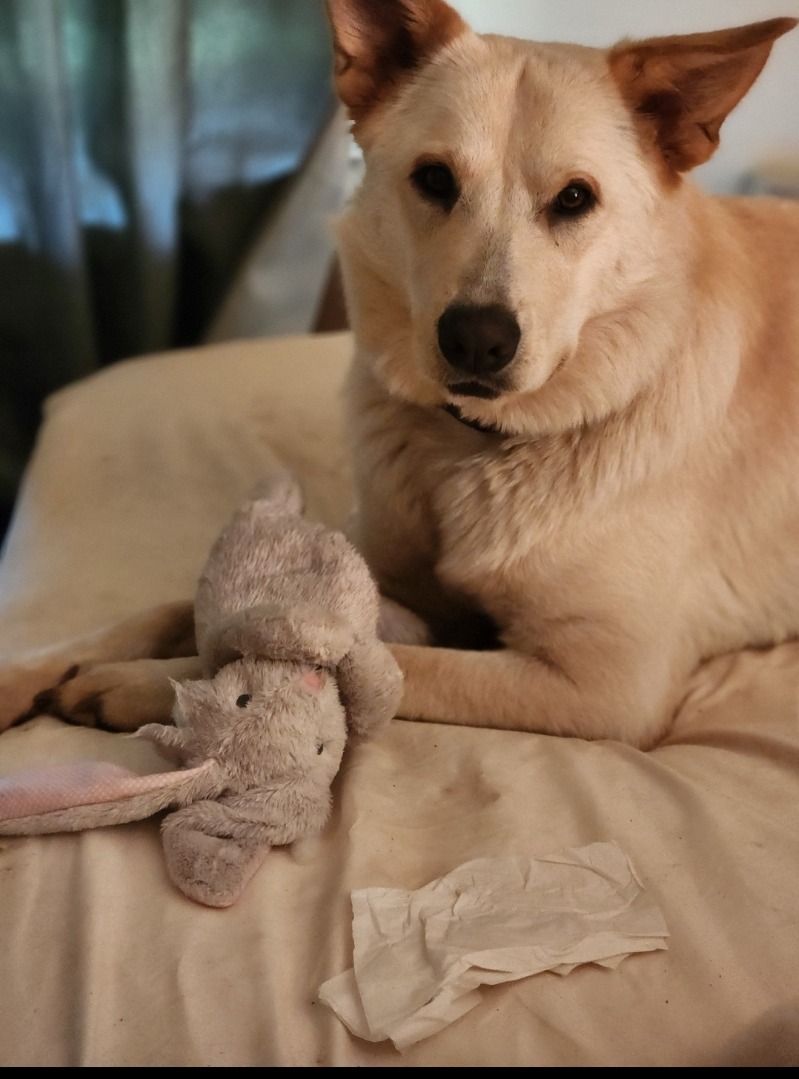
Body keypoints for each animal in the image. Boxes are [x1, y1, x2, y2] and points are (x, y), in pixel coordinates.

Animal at [1, 0, 798, 750]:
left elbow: (374, 663)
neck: (471, 447)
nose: (477, 340)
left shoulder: (605, 687)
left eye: (575, 198)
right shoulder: (374, 564)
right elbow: (174, 607)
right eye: (435, 180)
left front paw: (137, 684)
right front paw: (36, 672)